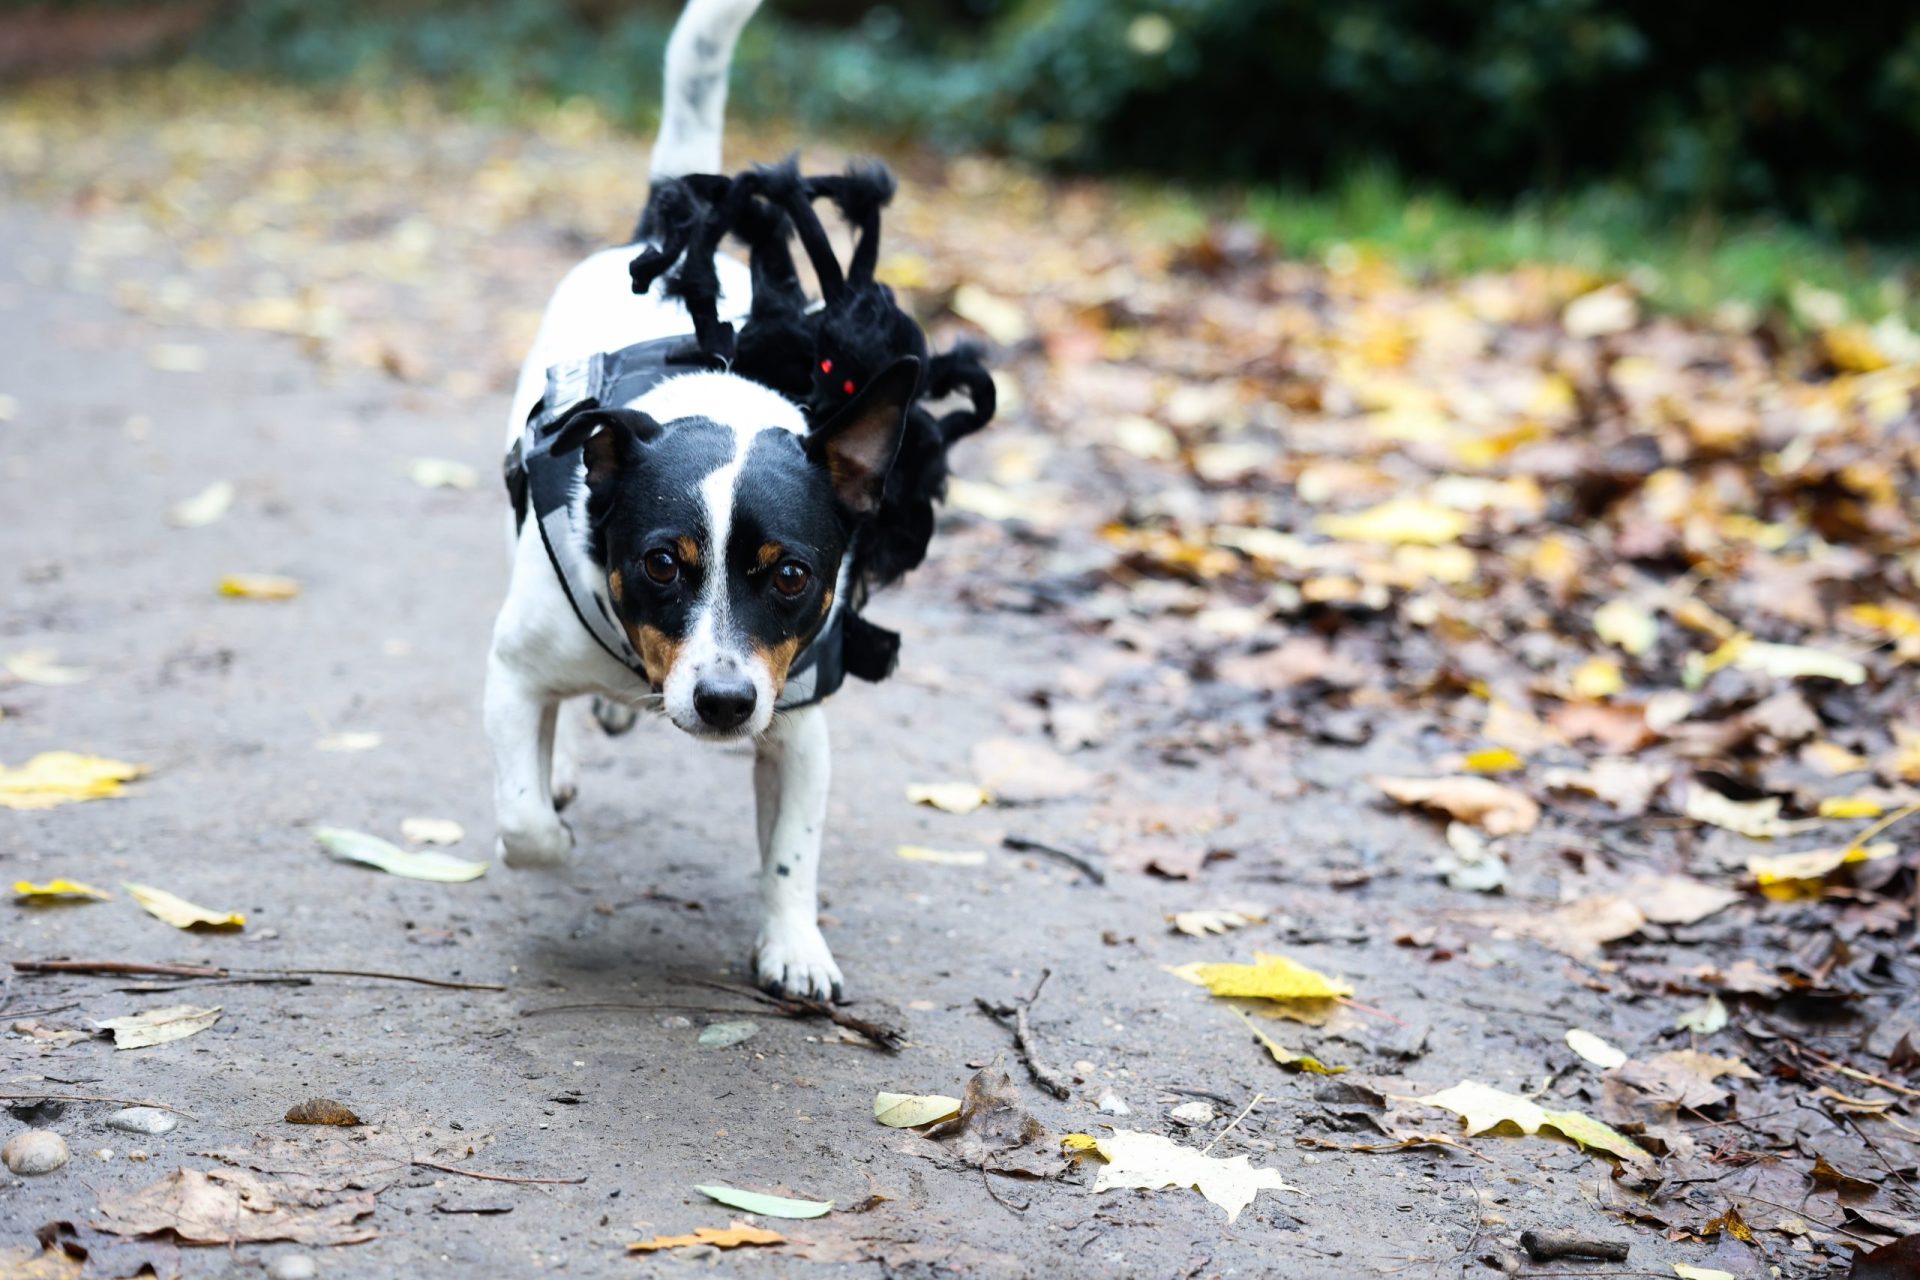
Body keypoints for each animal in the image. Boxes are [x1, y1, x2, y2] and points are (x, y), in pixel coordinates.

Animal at [486, 0, 956, 1002]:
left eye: (792, 577)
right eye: (663, 564)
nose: (728, 702)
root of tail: (663, 233)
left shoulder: (799, 724)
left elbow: (793, 852)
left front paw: (795, 945)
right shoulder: (510, 675)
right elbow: (524, 818)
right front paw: (548, 824)